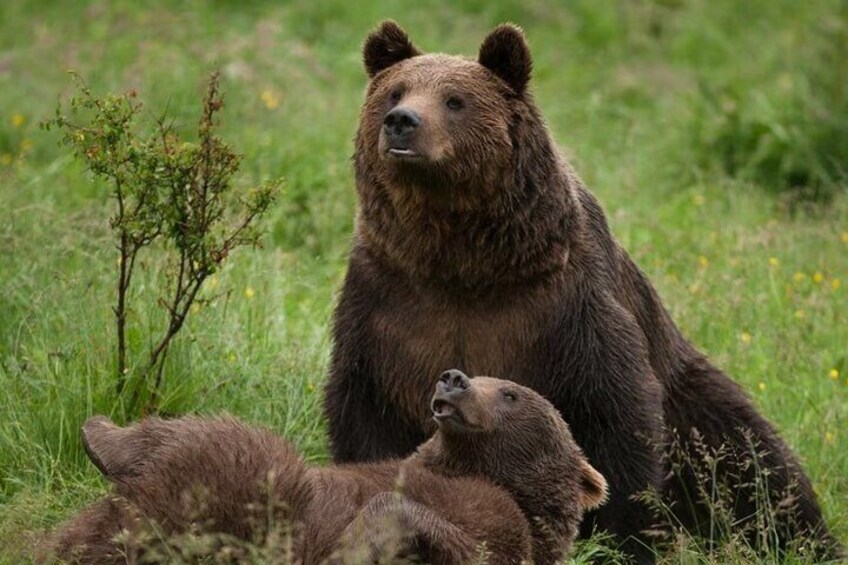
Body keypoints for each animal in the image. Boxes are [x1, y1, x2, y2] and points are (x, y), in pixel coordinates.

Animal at [43, 372, 608, 560]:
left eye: (510, 392)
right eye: (482, 374)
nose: (454, 378)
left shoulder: (506, 527)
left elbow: (461, 543)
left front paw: (357, 540)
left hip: (256, 515)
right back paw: (99, 434)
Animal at [324, 20, 840, 560]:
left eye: (454, 100)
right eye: (395, 91)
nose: (401, 122)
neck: (463, 261)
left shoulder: (565, 303)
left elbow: (614, 413)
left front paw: (620, 539)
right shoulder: (387, 302)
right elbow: (366, 410)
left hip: (693, 398)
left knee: (750, 461)